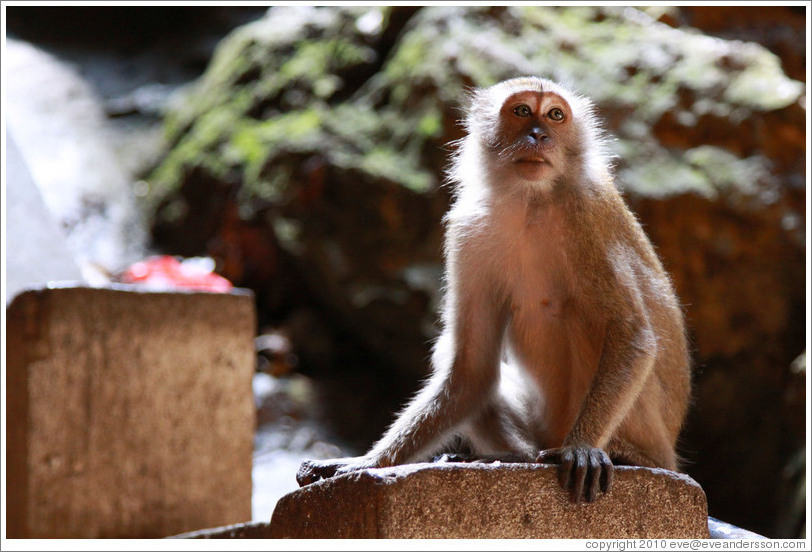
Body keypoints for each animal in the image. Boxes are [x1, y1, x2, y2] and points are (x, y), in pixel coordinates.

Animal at [296, 77, 692, 504]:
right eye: (522, 111)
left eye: (555, 114)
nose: (539, 135)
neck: (530, 201)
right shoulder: (467, 230)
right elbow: (471, 370)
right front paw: (366, 461)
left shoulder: (588, 213)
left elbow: (631, 333)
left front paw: (582, 447)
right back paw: (514, 456)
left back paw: (620, 453)